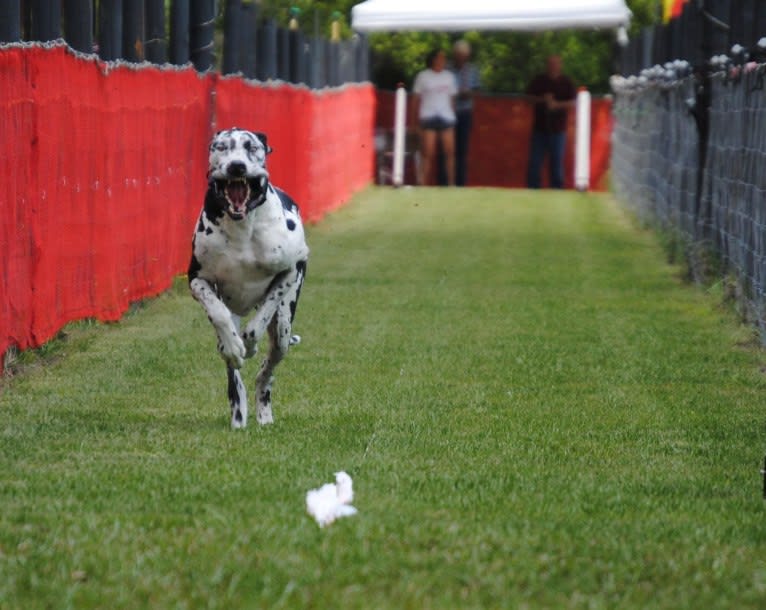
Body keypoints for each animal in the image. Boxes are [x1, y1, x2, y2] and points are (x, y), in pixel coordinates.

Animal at [189, 126, 308, 426]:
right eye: (221, 147)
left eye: (251, 146)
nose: (236, 166)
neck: (242, 227)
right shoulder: (197, 279)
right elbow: (218, 313)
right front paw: (235, 346)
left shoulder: (290, 271)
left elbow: (260, 318)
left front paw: (250, 344)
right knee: (235, 377)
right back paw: (239, 414)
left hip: (283, 330)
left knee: (266, 373)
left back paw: (263, 413)